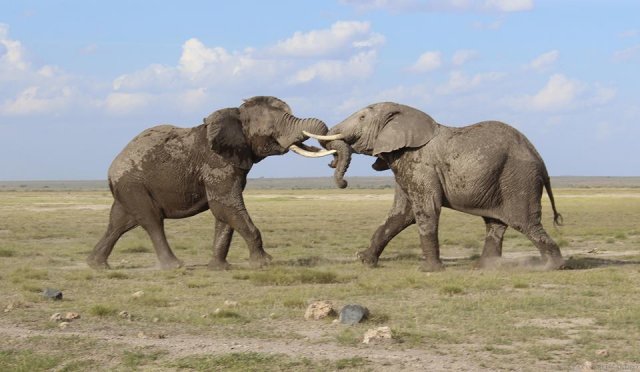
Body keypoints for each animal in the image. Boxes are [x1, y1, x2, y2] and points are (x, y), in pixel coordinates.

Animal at [89, 96, 336, 270]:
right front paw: (264, 263)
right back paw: (174, 266)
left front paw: (219, 267)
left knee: (120, 222)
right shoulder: (217, 164)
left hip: (128, 187)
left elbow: (224, 212)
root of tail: (113, 166)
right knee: (151, 220)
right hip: (133, 183)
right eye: (271, 131)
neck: (236, 115)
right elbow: (226, 206)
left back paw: (97, 265)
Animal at [310, 101, 564, 270]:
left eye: (362, 118)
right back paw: (484, 267)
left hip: (519, 179)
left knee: (525, 223)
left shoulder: (420, 164)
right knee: (495, 223)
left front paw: (429, 270)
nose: (343, 182)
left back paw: (552, 266)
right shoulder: (405, 165)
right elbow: (401, 215)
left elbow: (426, 210)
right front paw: (364, 260)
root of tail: (540, 159)